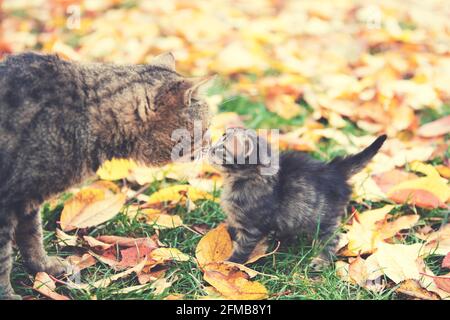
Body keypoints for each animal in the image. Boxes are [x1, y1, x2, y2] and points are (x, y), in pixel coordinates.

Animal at [0, 51, 212, 298]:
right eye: (206, 128)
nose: (213, 142)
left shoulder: (27, 199)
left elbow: (32, 236)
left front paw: (44, 267)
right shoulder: (8, 205)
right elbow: (4, 258)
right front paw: (6, 293)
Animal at [208, 127, 386, 264]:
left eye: (221, 149)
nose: (209, 148)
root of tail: (334, 170)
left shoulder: (252, 227)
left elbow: (242, 249)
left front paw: (229, 264)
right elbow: (232, 227)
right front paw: (225, 234)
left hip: (324, 219)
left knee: (333, 238)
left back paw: (321, 261)